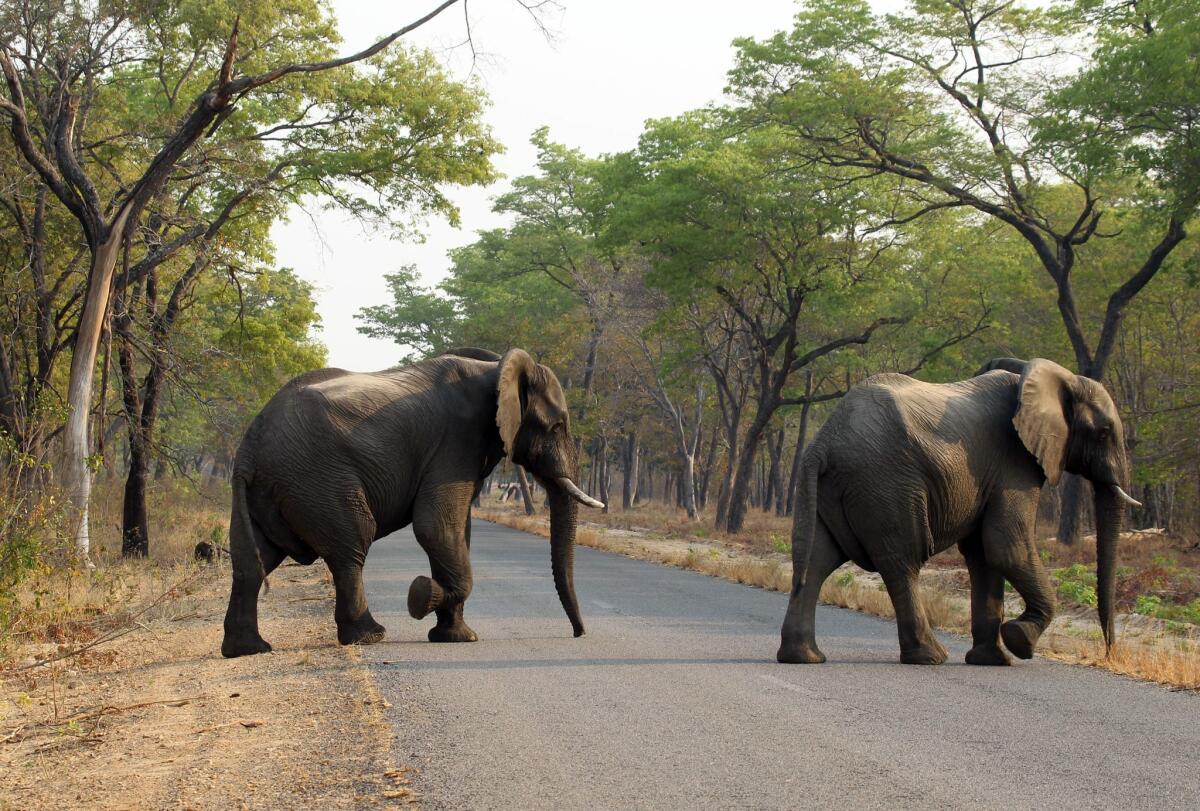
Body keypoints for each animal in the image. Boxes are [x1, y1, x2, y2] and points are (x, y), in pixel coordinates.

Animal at [218, 347, 600, 657]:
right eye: (557, 426)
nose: (579, 634)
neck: (495, 368)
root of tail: (250, 444)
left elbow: (457, 531)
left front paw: (456, 637)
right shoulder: (456, 443)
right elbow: (436, 528)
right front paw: (420, 597)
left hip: (269, 489)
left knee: (253, 561)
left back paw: (248, 650)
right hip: (317, 477)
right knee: (352, 545)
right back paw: (370, 636)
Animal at [777, 359, 1142, 667]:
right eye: (1104, 432)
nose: (1109, 652)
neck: (1050, 376)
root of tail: (823, 443)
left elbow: (983, 554)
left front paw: (993, 660)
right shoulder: (1014, 464)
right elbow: (1007, 547)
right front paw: (1019, 641)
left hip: (832, 488)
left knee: (815, 561)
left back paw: (804, 657)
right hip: (885, 484)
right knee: (902, 562)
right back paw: (930, 657)